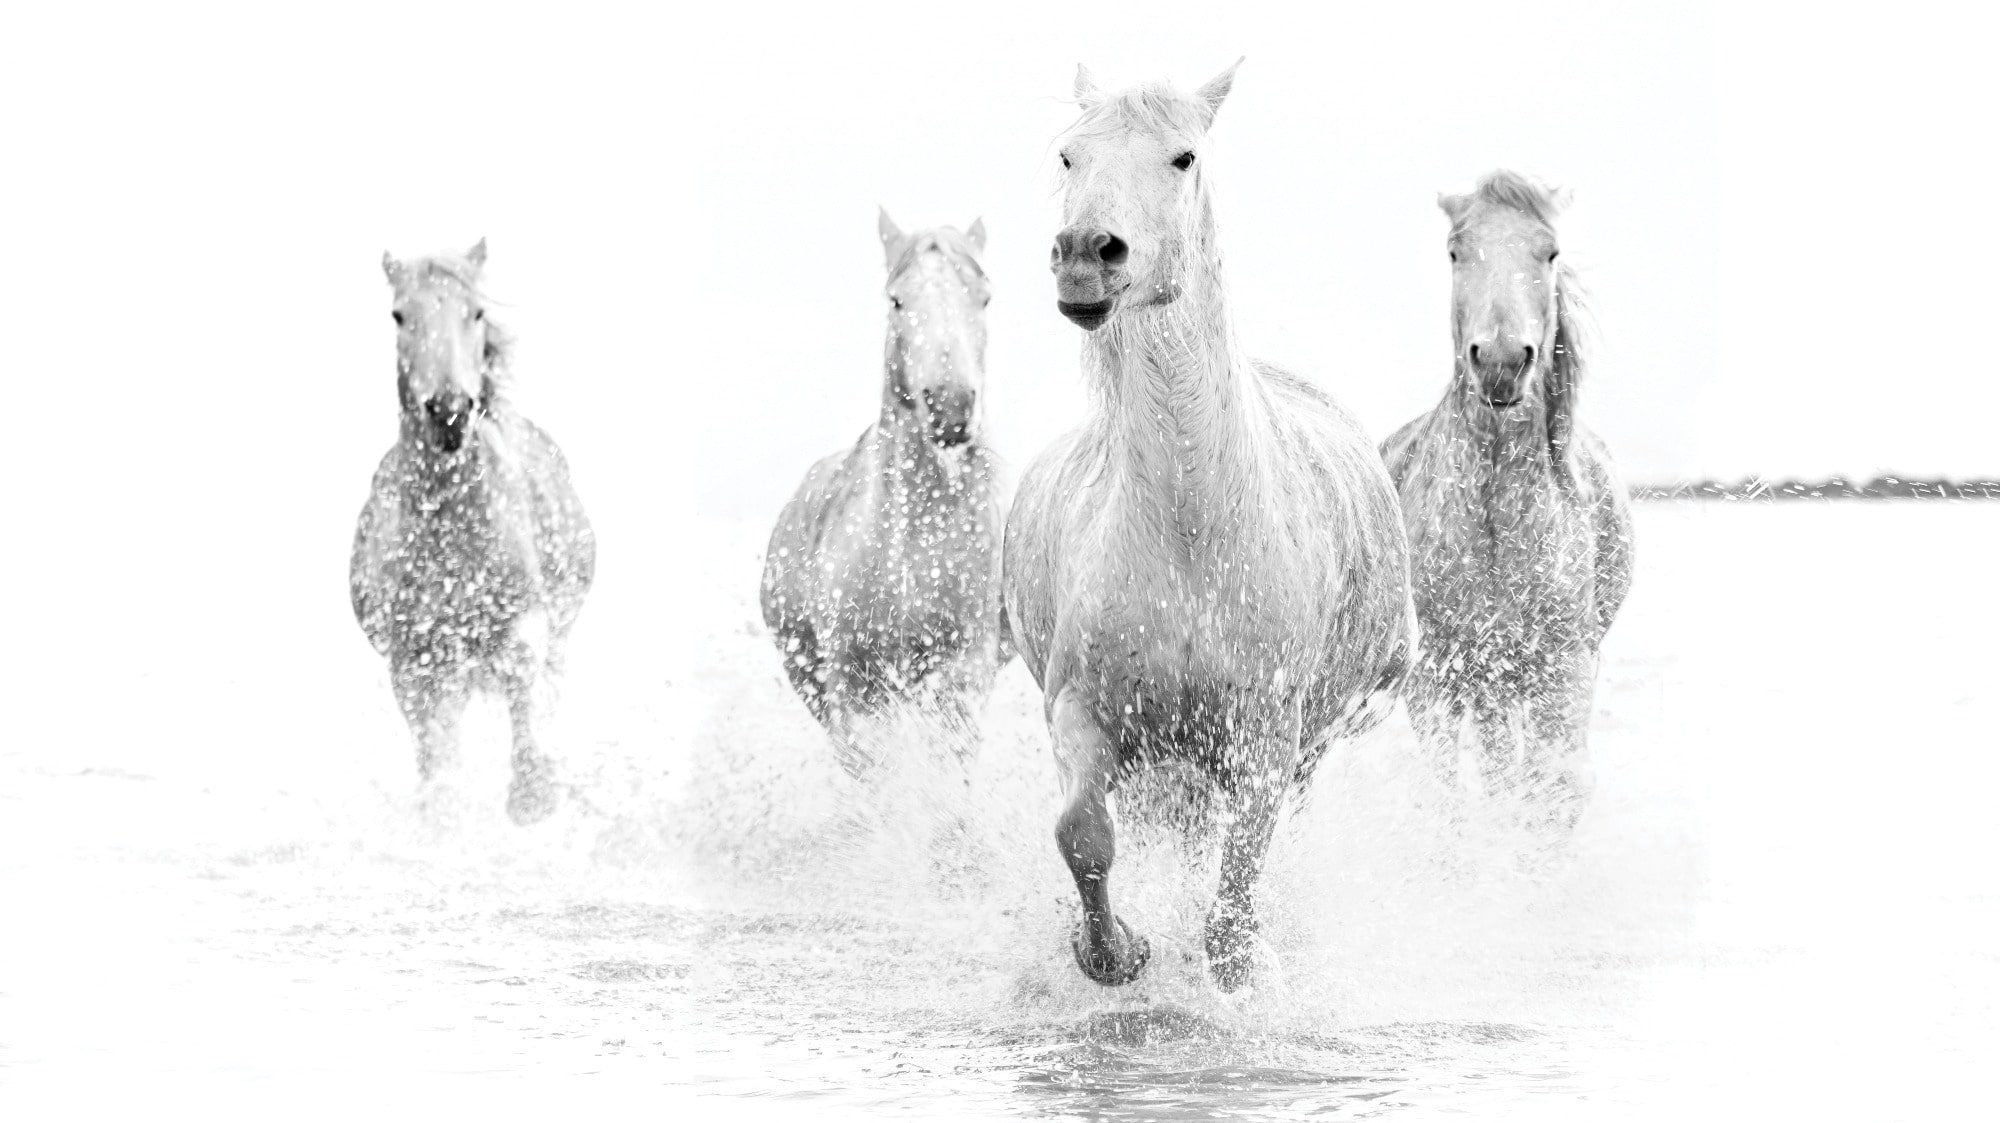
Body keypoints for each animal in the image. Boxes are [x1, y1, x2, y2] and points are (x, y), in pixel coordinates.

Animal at [349, 240, 596, 824]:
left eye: (477, 312)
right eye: (399, 315)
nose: (449, 412)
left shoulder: (523, 629)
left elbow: (525, 703)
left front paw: (533, 795)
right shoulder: (412, 664)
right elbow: (435, 765)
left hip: (559, 632)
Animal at [1005, 63, 1415, 991]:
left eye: (1183, 155)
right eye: (1069, 154)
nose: (1086, 254)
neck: (1190, 530)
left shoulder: (1265, 738)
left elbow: (1234, 897)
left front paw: (1237, 975)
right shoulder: (1082, 712)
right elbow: (1083, 834)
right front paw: (1114, 952)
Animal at [1380, 171, 1635, 835]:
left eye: (1549, 252)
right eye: (1455, 251)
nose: (1499, 362)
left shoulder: (1562, 669)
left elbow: (1553, 789)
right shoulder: (1438, 677)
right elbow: (1448, 799)